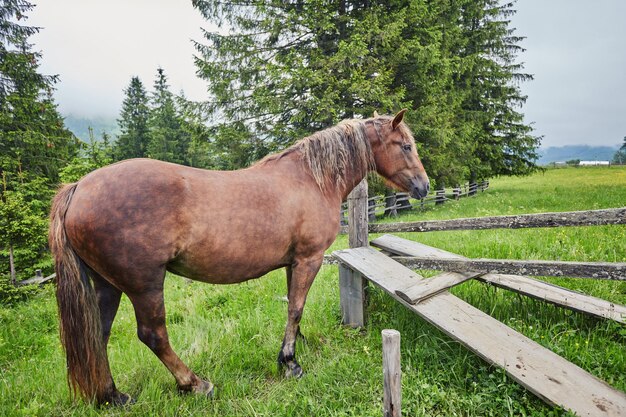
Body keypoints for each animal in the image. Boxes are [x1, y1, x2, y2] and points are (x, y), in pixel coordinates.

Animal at [48, 109, 428, 404]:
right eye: (406, 146)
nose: (423, 186)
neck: (310, 179)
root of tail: (78, 189)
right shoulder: (309, 259)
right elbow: (295, 307)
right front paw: (290, 362)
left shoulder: (294, 263)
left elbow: (294, 306)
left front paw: (297, 345)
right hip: (144, 285)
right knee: (153, 335)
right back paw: (195, 384)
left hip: (108, 285)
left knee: (98, 335)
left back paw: (112, 396)